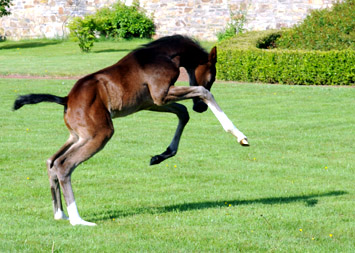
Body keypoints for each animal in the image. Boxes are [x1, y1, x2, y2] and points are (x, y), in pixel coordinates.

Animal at [12, 34, 249, 226]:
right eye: (212, 76)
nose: (200, 109)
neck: (163, 55)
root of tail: (67, 99)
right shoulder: (161, 94)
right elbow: (202, 92)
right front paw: (238, 135)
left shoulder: (151, 102)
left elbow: (183, 113)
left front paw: (160, 156)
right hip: (100, 134)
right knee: (64, 165)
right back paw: (77, 220)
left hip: (78, 136)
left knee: (51, 161)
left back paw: (59, 214)